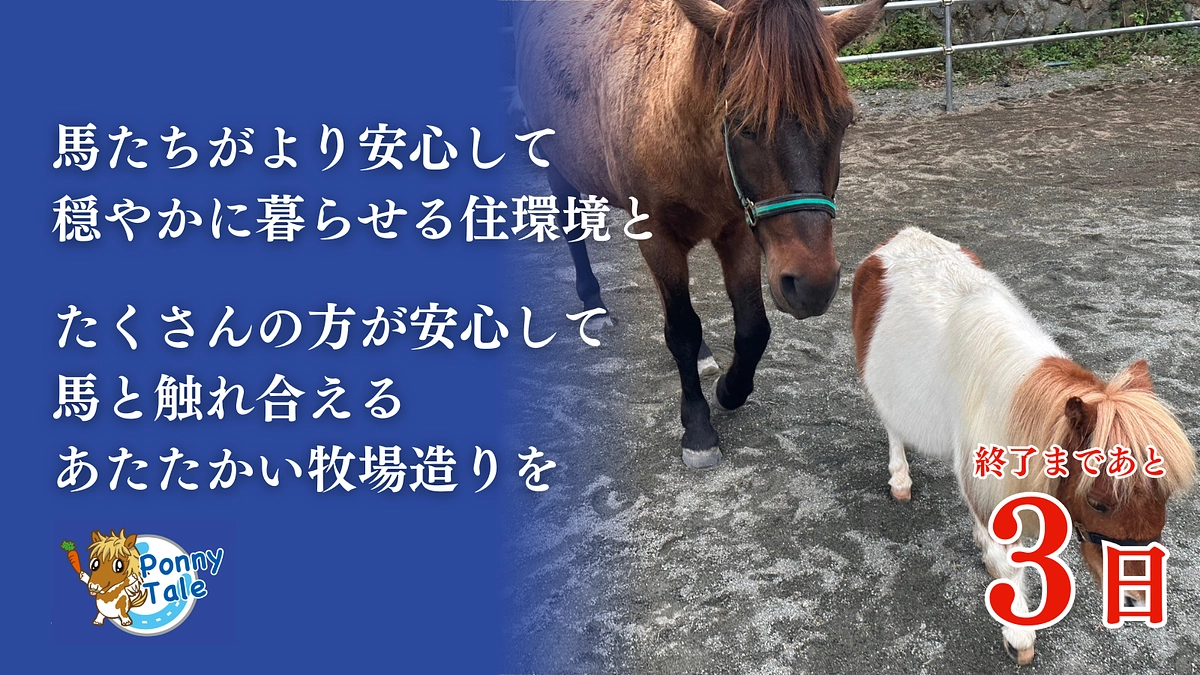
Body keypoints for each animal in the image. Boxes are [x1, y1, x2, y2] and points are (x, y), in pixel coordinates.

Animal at [515, 0, 889, 468]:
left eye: (843, 121)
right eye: (744, 124)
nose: (812, 285)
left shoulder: (740, 231)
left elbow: (752, 327)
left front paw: (729, 389)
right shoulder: (657, 235)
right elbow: (681, 329)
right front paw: (697, 428)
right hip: (557, 168)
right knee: (572, 230)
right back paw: (594, 305)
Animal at [851, 227, 1197, 664]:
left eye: (1164, 494)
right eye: (1099, 503)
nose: (1137, 598)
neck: (1009, 395)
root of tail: (901, 237)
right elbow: (1010, 563)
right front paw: (1019, 636)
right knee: (893, 428)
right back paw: (900, 479)